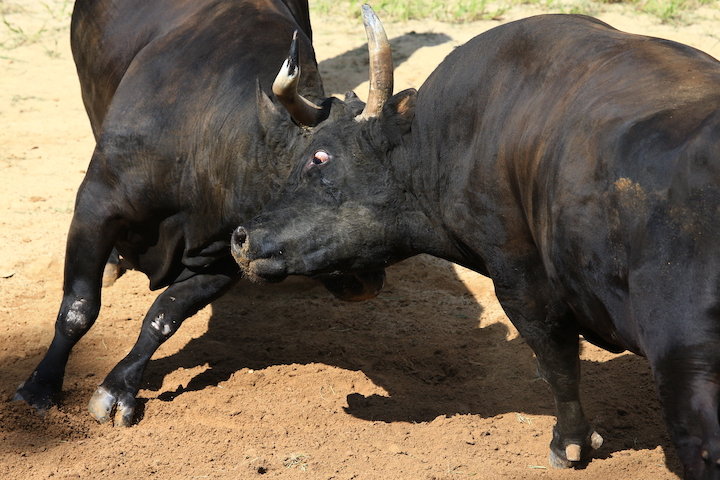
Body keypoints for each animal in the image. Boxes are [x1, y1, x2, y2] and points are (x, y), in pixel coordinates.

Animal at [14, 0, 390, 428]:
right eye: (319, 158)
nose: (368, 278)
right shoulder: (96, 204)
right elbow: (78, 307)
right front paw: (40, 388)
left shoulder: (225, 254)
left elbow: (164, 317)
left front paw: (119, 389)